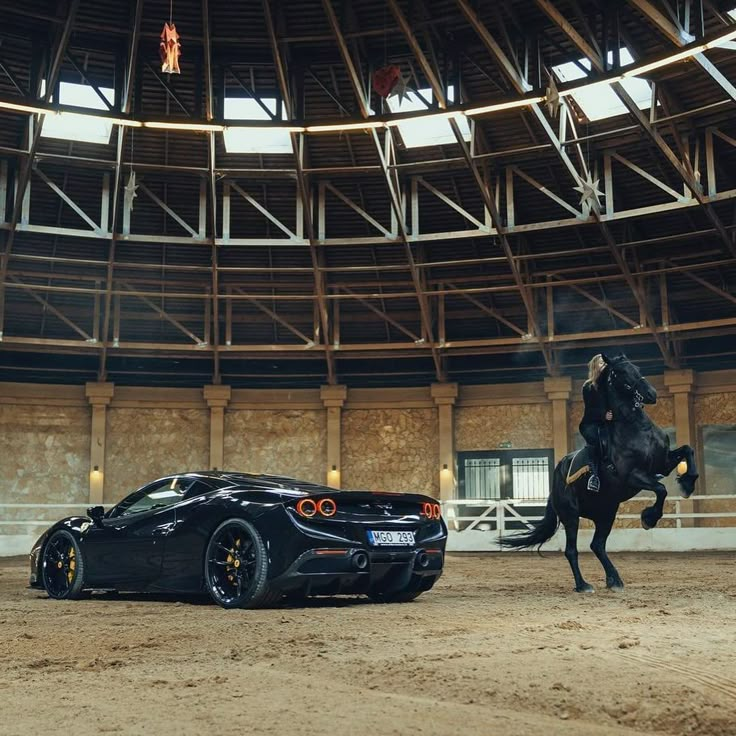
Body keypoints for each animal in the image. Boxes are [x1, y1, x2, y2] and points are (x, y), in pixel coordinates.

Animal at [504, 356, 700, 592]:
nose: (651, 393)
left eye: (636, 367)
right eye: (619, 372)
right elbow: (661, 489)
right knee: (572, 551)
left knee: (597, 545)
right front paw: (649, 518)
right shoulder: (633, 476)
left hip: (606, 514)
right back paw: (583, 585)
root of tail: (556, 480)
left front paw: (688, 484)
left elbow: (687, 450)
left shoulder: (662, 465)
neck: (636, 428)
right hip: (571, 516)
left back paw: (614, 580)